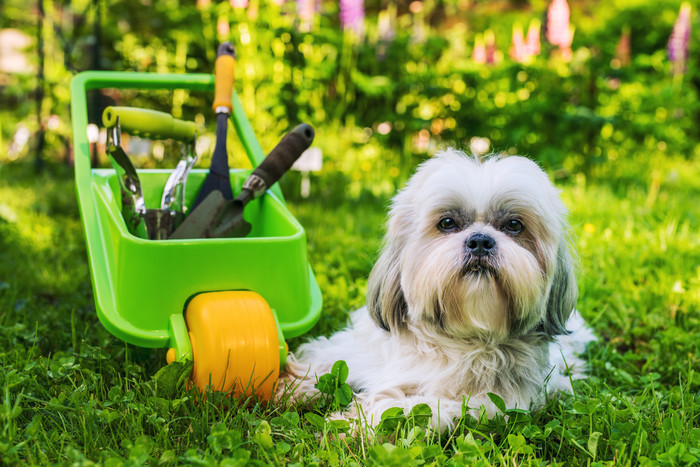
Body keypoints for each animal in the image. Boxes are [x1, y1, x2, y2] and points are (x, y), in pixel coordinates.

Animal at [276, 150, 592, 432]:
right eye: (447, 223)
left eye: (514, 225)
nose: (480, 241)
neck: (456, 339)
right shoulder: (359, 349)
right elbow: (327, 360)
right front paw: (294, 385)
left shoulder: (487, 402)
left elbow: (408, 406)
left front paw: (355, 422)